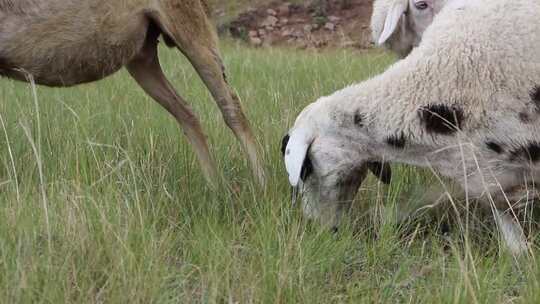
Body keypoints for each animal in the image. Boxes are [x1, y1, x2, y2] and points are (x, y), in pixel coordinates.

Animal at [0, 0, 266, 188]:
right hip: (142, 53)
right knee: (187, 112)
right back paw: (215, 187)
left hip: (188, 22)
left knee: (230, 105)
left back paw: (261, 186)